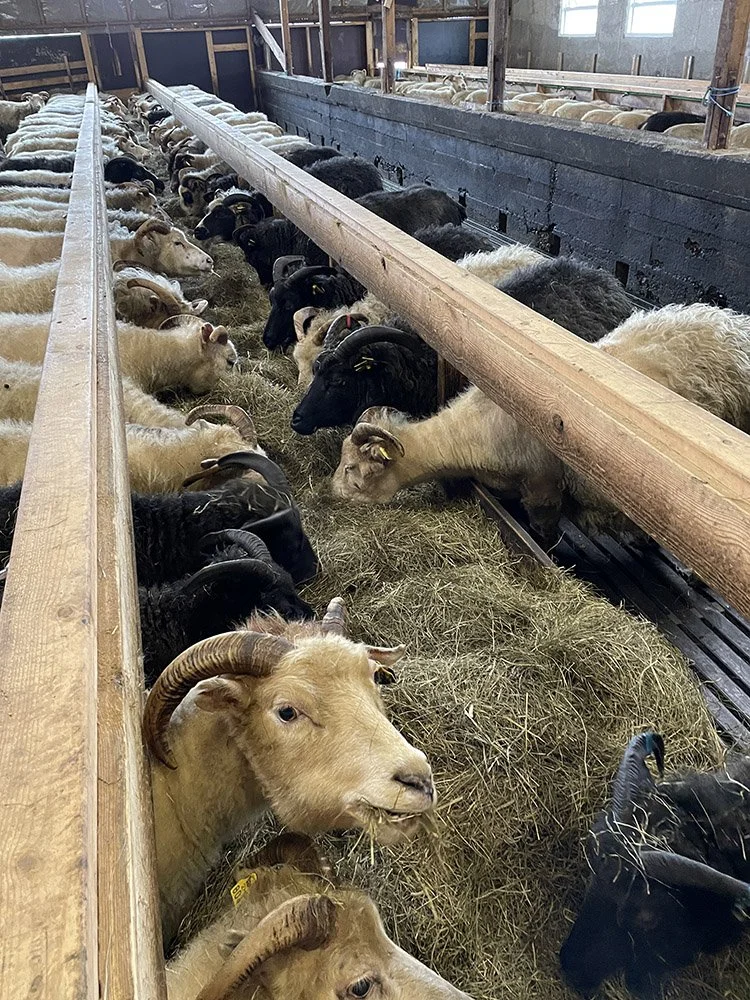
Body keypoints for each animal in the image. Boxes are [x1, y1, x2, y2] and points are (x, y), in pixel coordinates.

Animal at [332, 302, 750, 540]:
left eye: (352, 468)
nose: (329, 493)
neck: (478, 427)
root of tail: (732, 325)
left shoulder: (543, 489)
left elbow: (545, 533)